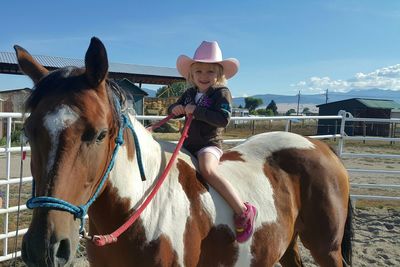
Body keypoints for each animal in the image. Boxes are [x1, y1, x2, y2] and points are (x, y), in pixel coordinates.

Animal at [16, 37, 354, 266]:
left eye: (99, 134)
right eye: (29, 131)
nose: (44, 247)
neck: (139, 210)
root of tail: (320, 147)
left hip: (327, 249)